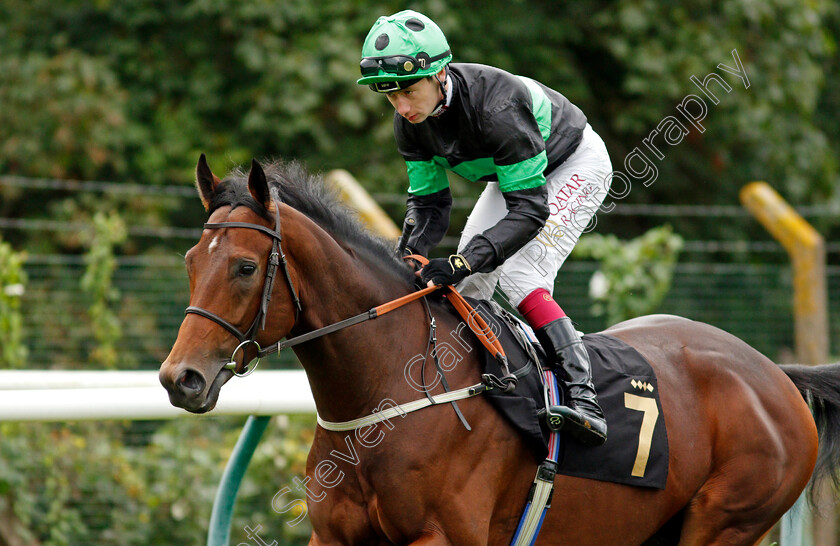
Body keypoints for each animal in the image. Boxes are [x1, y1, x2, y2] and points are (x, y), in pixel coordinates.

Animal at [161, 155, 840, 540]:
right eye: (191, 260)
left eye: (246, 267)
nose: (179, 378)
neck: (390, 394)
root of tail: (776, 375)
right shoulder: (334, 537)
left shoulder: (443, 536)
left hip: (727, 518)